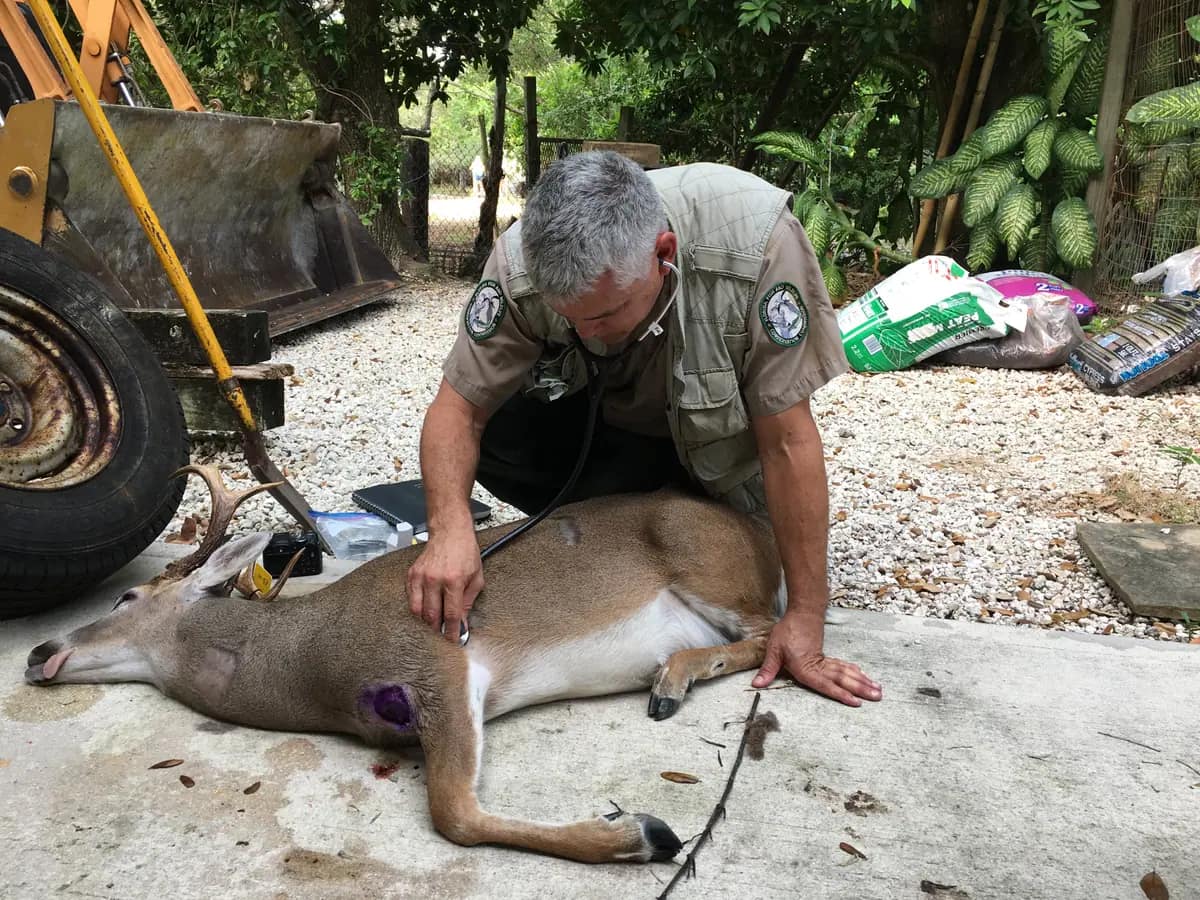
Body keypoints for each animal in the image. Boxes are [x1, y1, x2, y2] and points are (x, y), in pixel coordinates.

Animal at [23, 465, 787, 865]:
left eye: (126, 595)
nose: (39, 651)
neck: (307, 661)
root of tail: (757, 531)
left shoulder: (442, 661)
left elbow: (455, 815)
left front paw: (642, 833)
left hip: (708, 568)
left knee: (773, 636)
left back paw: (671, 679)